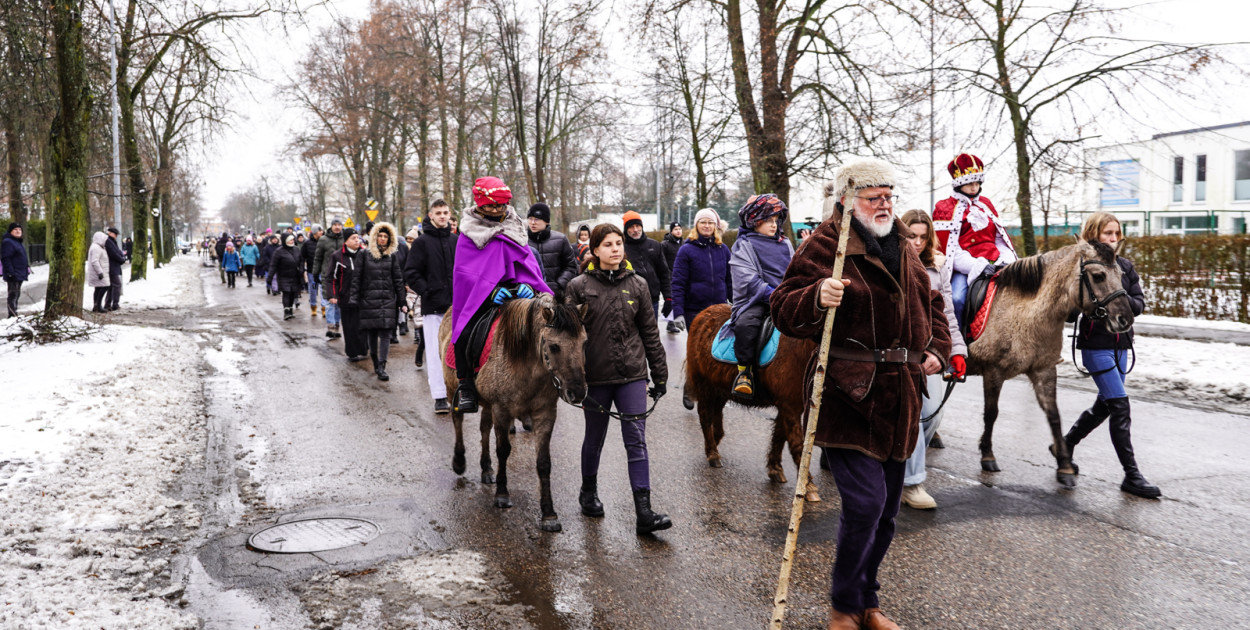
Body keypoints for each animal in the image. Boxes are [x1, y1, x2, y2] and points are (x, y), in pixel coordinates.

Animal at [440, 295, 590, 532]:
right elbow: (503, 450)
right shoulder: (502, 409)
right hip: (452, 387)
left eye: (584, 343)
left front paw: (549, 513)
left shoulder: (545, 413)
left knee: (484, 429)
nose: (578, 392)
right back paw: (459, 461)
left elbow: (544, 462)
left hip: (488, 404)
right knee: (458, 421)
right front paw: (502, 495)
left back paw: (486, 469)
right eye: (554, 346)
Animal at [685, 303, 820, 502]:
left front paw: (775, 469)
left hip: (720, 388)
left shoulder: (787, 405)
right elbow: (796, 443)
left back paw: (716, 442)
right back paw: (712, 454)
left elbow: (779, 436)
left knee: (716, 415)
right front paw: (808, 486)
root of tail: (703, 314)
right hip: (705, 385)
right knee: (705, 417)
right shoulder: (790, 406)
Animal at [965, 238, 1135, 490]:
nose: (1125, 319)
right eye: (1098, 276)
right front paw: (987, 455)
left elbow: (1054, 416)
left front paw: (1064, 465)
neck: (1024, 313)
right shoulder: (993, 371)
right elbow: (991, 413)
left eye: (1121, 274)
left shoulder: (1044, 369)